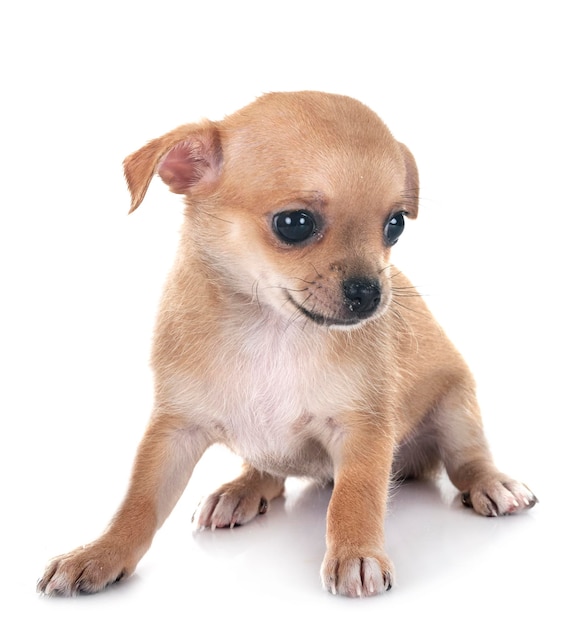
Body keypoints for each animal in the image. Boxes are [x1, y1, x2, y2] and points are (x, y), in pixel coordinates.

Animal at [37, 89, 540, 596]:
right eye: (294, 223)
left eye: (395, 225)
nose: (370, 292)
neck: (272, 329)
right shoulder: (173, 431)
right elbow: (138, 502)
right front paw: (100, 553)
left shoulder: (363, 430)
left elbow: (355, 497)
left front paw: (356, 553)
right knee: (270, 475)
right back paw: (240, 490)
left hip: (456, 407)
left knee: (465, 458)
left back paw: (493, 484)